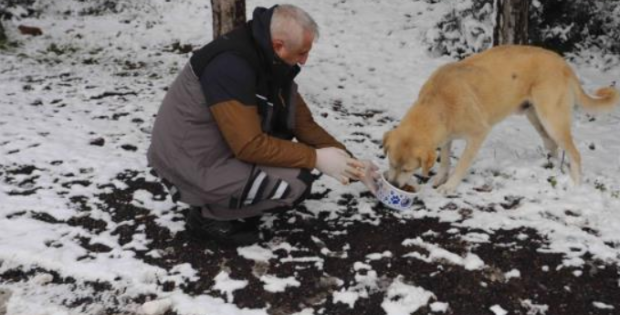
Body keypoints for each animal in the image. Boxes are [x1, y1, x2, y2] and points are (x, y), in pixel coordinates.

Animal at [386, 45, 616, 195]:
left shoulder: (478, 134)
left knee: (574, 154)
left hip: (552, 119)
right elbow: (444, 160)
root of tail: (564, 64)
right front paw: (440, 178)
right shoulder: (446, 136)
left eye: (407, 169)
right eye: (390, 163)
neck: (439, 102)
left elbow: (461, 164)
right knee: (552, 145)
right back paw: (551, 170)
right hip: (536, 118)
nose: (393, 185)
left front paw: (449, 187)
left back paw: (576, 185)